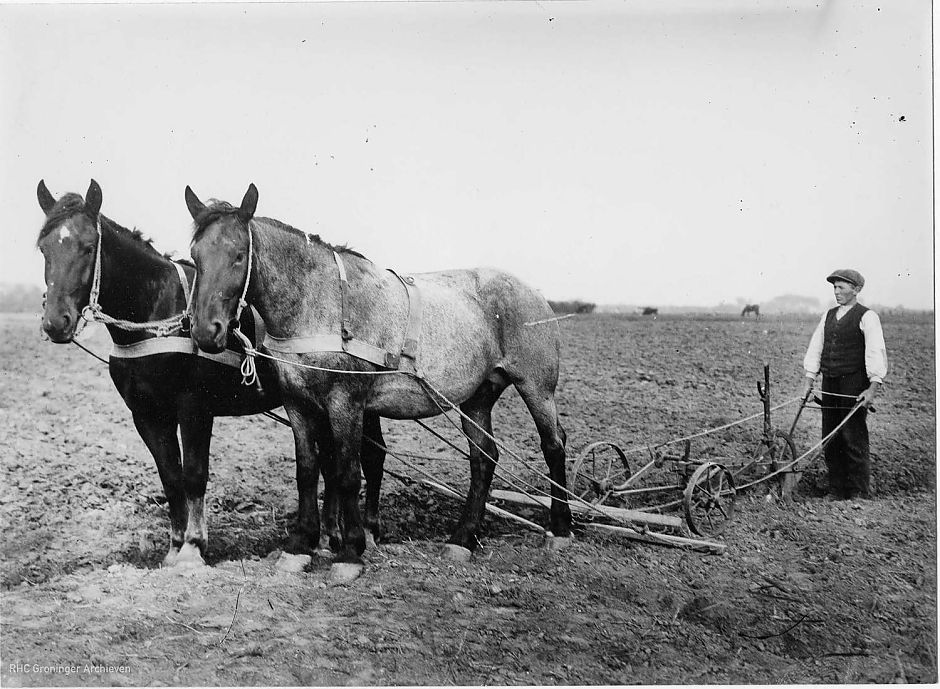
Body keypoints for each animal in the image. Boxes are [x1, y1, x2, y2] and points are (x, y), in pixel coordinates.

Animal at [35, 180, 384, 568]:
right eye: (44, 248)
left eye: (87, 247)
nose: (55, 322)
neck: (158, 315)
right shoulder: (146, 414)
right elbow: (170, 477)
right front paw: (174, 546)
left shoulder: (194, 408)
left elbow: (194, 474)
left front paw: (193, 545)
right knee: (329, 461)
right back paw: (329, 535)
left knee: (371, 458)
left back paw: (366, 532)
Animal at [180, 184, 568, 580]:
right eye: (195, 256)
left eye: (239, 256)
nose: (205, 331)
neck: (319, 304)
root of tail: (534, 293)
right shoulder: (297, 404)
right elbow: (307, 471)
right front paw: (300, 545)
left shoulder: (346, 403)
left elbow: (348, 473)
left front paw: (350, 552)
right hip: (477, 397)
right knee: (483, 458)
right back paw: (463, 538)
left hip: (536, 387)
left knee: (553, 445)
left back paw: (560, 529)